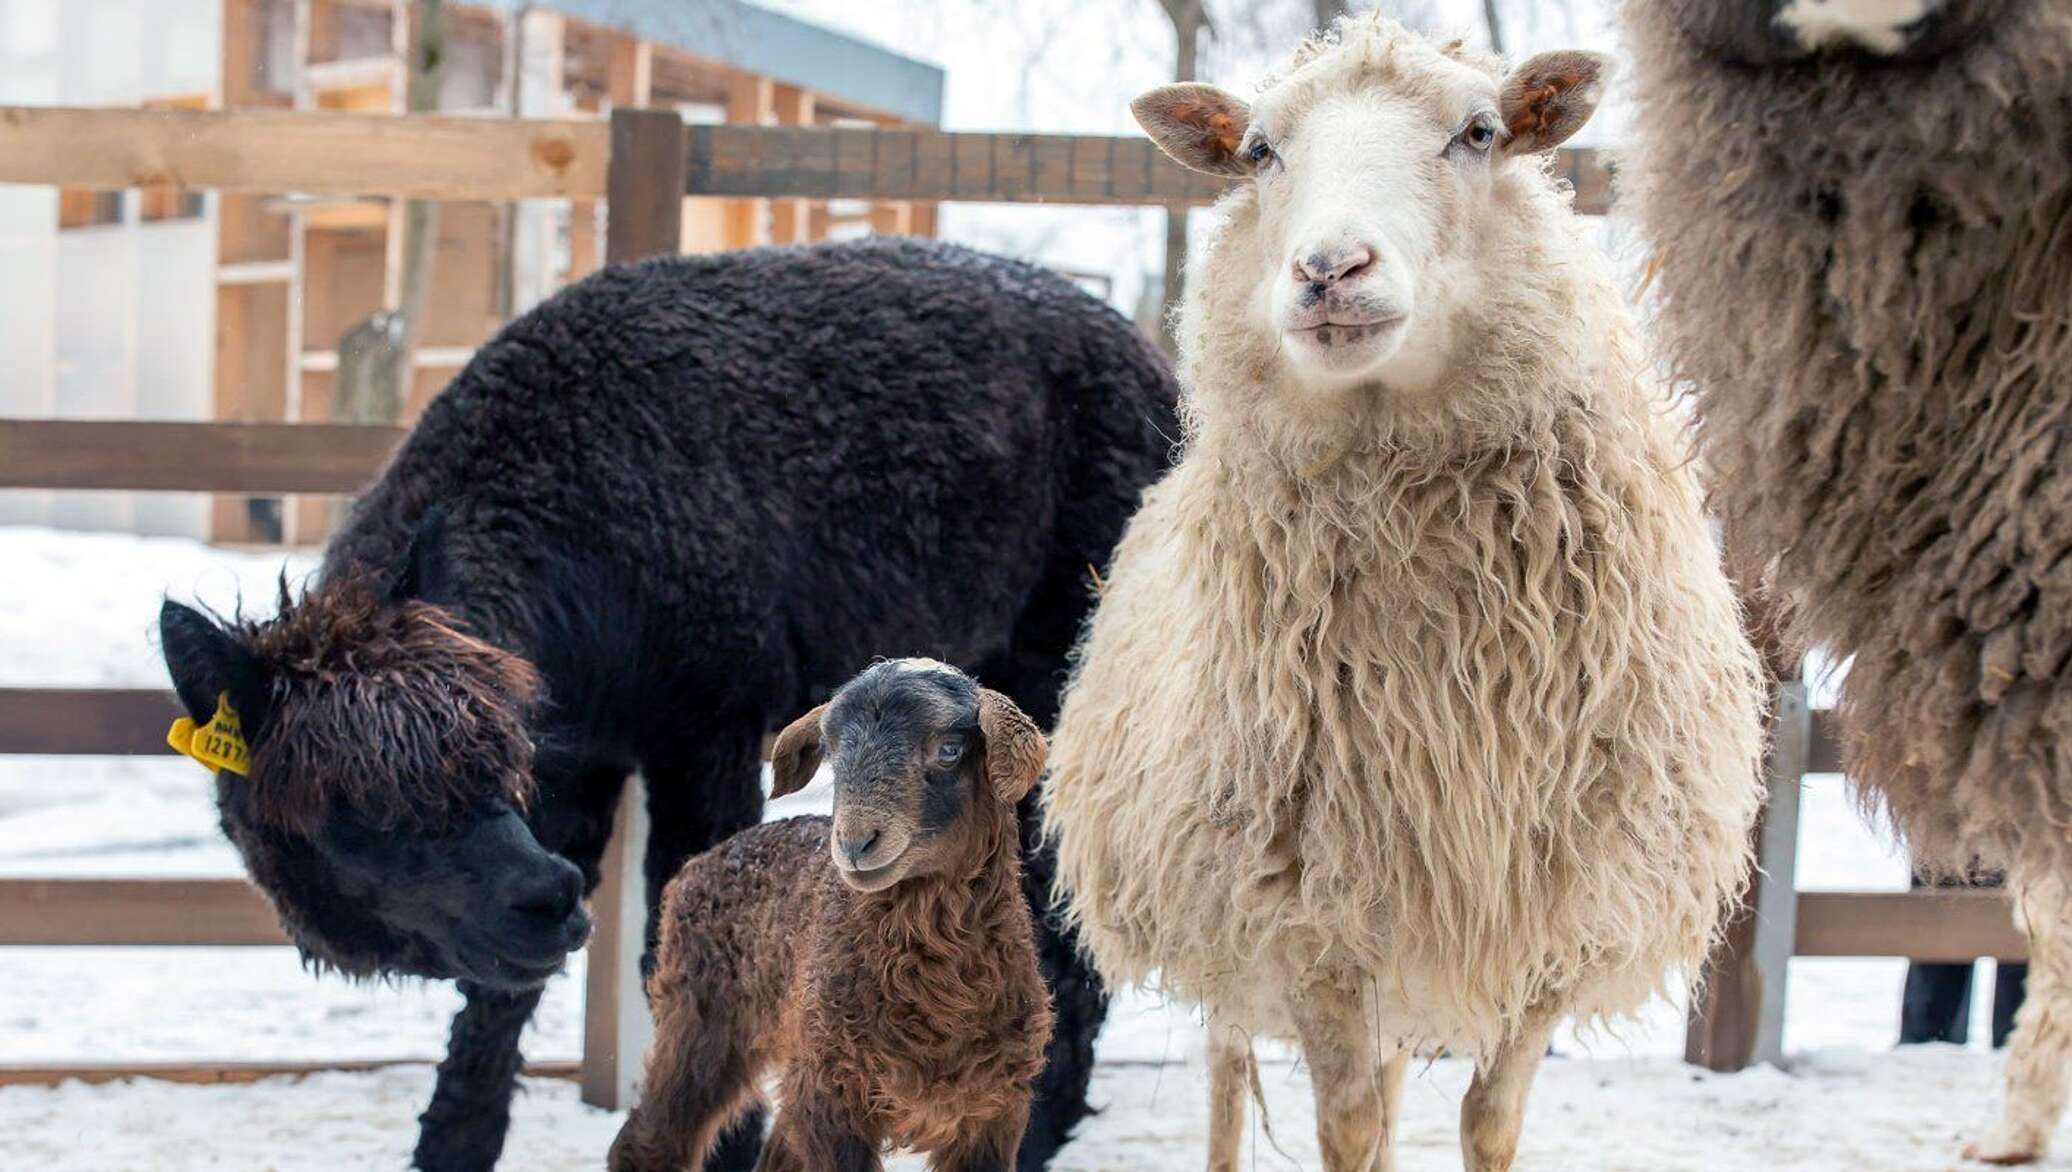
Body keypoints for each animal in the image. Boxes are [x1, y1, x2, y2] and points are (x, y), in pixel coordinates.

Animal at [600, 662, 1052, 1172]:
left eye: (950, 749)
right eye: (834, 754)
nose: (855, 841)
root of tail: (698, 865)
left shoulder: (991, 1108)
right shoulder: (836, 1093)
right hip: (703, 1019)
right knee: (650, 1138)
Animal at [1052, 18, 1765, 1172]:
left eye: (1478, 133)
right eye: (1259, 151)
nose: (1327, 268)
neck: (1442, 689)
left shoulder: (1549, 928)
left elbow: (1486, 1123)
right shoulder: (1308, 930)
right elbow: (1344, 1129)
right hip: (1224, 909)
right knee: (1228, 1073)